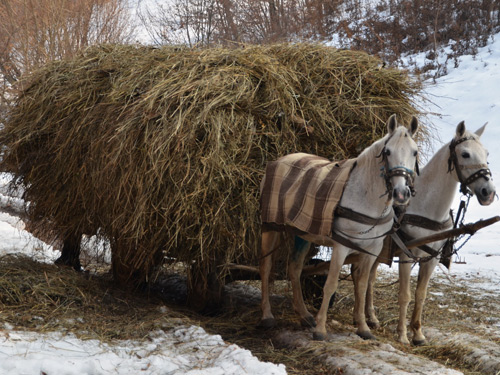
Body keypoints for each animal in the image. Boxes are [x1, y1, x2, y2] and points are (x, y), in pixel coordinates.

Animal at [258, 114, 418, 340]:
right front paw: (320, 330)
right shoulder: (342, 245)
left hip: (303, 234)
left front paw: (363, 328)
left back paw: (304, 314)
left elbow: (362, 284)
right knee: (265, 267)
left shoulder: (371, 249)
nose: (401, 194)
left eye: (415, 152)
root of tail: (282, 159)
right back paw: (267, 316)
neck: (364, 197)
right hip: (270, 227)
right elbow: (331, 284)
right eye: (387, 152)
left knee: (295, 268)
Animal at [364, 121, 496, 346]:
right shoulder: (406, 256)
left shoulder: (431, 259)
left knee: (369, 278)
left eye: (487, 153)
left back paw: (371, 317)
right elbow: (405, 294)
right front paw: (402, 334)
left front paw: (418, 334)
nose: (489, 192)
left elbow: (421, 294)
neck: (427, 207)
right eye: (465, 154)